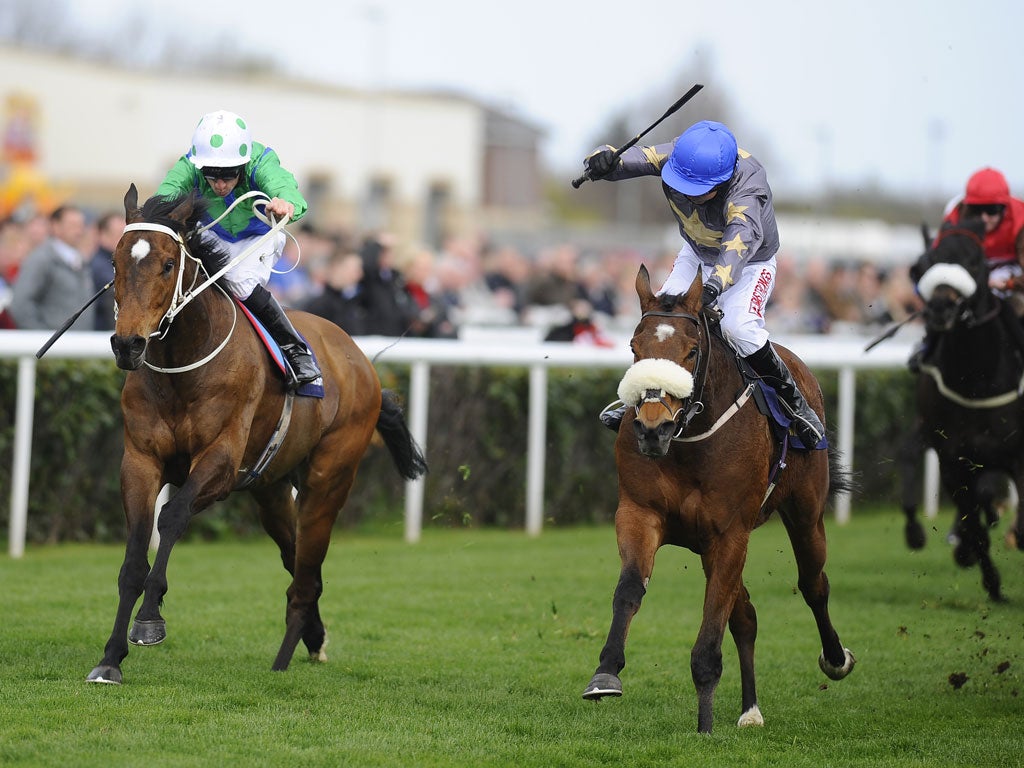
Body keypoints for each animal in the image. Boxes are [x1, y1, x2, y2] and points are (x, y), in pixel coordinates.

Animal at [84, 186, 428, 684]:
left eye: (167, 264)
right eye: (114, 262)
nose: (127, 344)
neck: (182, 367)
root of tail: (359, 359)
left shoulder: (221, 462)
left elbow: (172, 517)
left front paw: (149, 620)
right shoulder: (141, 460)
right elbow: (133, 555)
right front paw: (111, 658)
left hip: (328, 479)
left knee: (307, 573)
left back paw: (285, 658)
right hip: (271, 489)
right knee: (297, 560)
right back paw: (314, 638)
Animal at [585, 264, 856, 733]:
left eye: (692, 351)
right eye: (634, 348)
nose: (652, 429)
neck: (689, 439)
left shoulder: (730, 533)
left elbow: (713, 623)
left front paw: (704, 725)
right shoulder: (640, 513)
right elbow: (630, 588)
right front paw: (606, 673)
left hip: (804, 514)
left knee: (813, 583)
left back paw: (835, 659)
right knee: (745, 616)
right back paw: (750, 709)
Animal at [905, 219, 1024, 606]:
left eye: (975, 262)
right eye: (926, 264)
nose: (941, 309)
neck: (977, 379)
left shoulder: (1017, 455)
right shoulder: (952, 459)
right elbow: (974, 526)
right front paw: (992, 582)